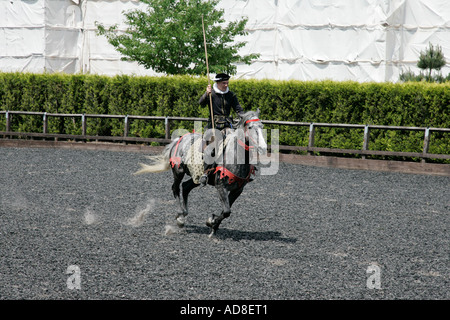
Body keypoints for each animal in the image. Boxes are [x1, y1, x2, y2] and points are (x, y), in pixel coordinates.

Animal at [134, 110, 268, 238]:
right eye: (250, 127)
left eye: (261, 126)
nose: (263, 147)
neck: (234, 156)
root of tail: (179, 139)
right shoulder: (221, 186)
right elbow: (226, 211)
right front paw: (211, 222)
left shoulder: (237, 190)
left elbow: (226, 211)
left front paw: (213, 225)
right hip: (178, 171)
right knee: (176, 188)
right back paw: (180, 216)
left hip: (196, 177)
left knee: (186, 187)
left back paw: (184, 214)